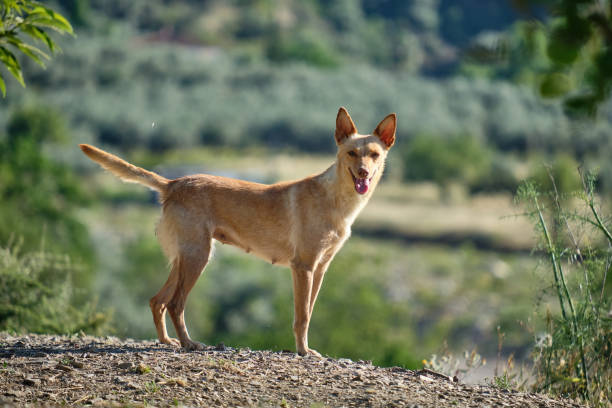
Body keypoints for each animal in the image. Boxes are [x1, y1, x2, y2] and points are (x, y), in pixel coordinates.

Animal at [80, 107, 396, 356]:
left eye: (374, 154)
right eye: (351, 153)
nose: (363, 173)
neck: (335, 199)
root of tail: (173, 184)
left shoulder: (320, 268)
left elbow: (310, 311)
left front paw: (305, 348)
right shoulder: (303, 266)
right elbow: (302, 316)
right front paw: (303, 351)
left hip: (184, 257)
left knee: (157, 300)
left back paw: (167, 341)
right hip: (198, 257)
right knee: (175, 304)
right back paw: (188, 343)